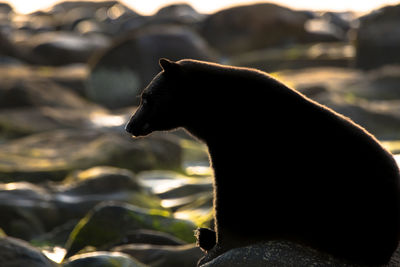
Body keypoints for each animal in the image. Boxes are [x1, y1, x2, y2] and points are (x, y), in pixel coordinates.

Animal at [126, 58, 400, 266]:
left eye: (146, 98)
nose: (130, 125)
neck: (217, 110)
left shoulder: (244, 144)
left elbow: (232, 195)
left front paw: (216, 248)